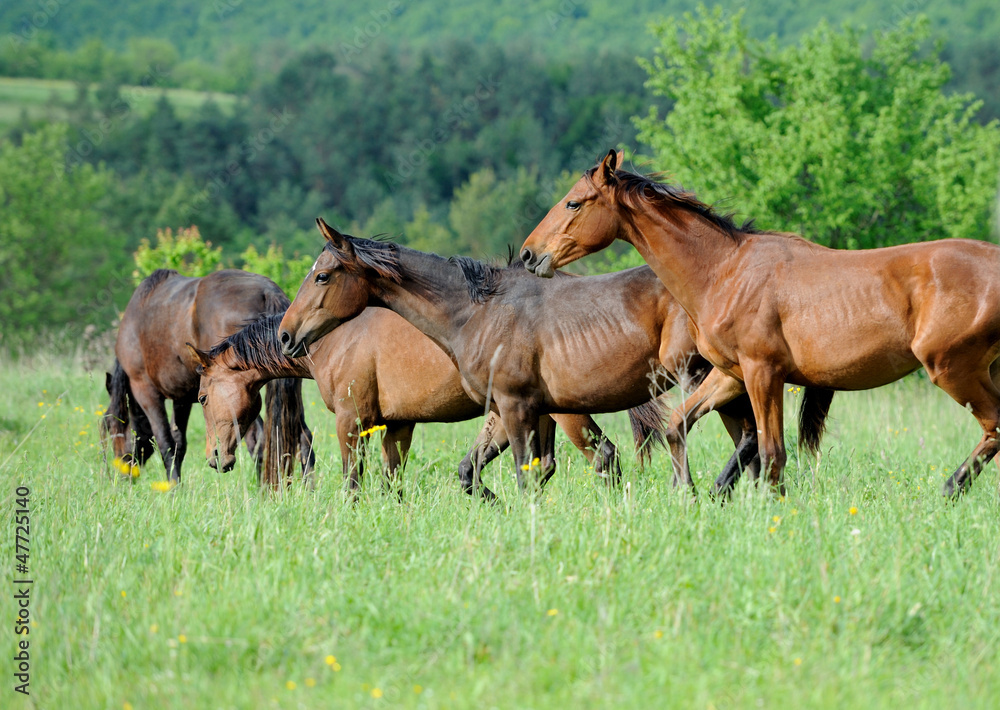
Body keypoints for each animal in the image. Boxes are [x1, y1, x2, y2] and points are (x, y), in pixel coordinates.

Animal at [107, 268, 314, 490]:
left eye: (109, 427)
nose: (120, 477)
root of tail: (268, 292)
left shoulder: (146, 392)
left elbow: (166, 443)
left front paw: (174, 489)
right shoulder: (182, 398)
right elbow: (179, 443)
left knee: (259, 441)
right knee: (302, 438)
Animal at [188, 312, 664, 500]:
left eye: (203, 397)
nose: (214, 457)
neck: (331, 335)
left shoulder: (351, 422)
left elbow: (353, 482)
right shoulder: (399, 425)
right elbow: (392, 483)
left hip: (563, 413)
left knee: (604, 457)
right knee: (541, 467)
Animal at [278, 218, 832, 496]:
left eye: (323, 275)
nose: (285, 336)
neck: (479, 311)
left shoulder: (518, 407)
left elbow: (528, 477)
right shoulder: (515, 410)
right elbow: (480, 472)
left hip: (708, 379)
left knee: (745, 441)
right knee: (748, 443)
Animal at [520, 149, 1000, 500]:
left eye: (573, 202)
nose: (528, 254)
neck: (724, 271)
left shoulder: (762, 373)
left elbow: (771, 453)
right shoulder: (731, 375)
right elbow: (679, 424)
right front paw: (689, 493)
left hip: (953, 369)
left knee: (994, 427)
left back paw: (949, 490)